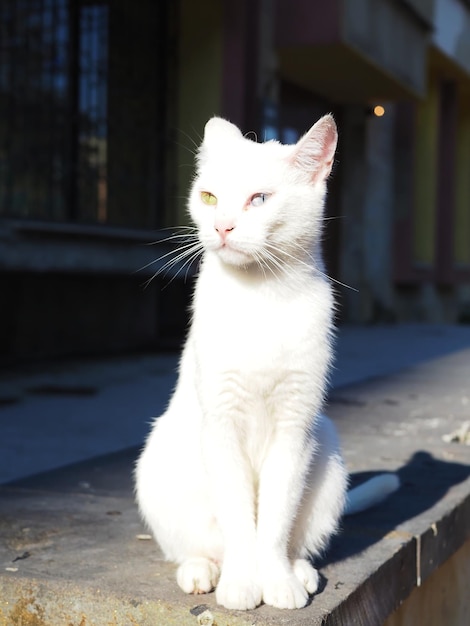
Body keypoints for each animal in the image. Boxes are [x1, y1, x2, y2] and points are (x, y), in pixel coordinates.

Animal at [135, 114, 396, 608]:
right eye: (209, 197)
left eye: (259, 199)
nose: (222, 226)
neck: (261, 297)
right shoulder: (221, 422)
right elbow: (240, 518)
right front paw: (242, 582)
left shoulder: (295, 427)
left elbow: (274, 519)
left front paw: (276, 581)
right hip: (157, 463)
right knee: (194, 546)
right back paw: (202, 570)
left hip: (327, 452)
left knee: (297, 537)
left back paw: (300, 572)